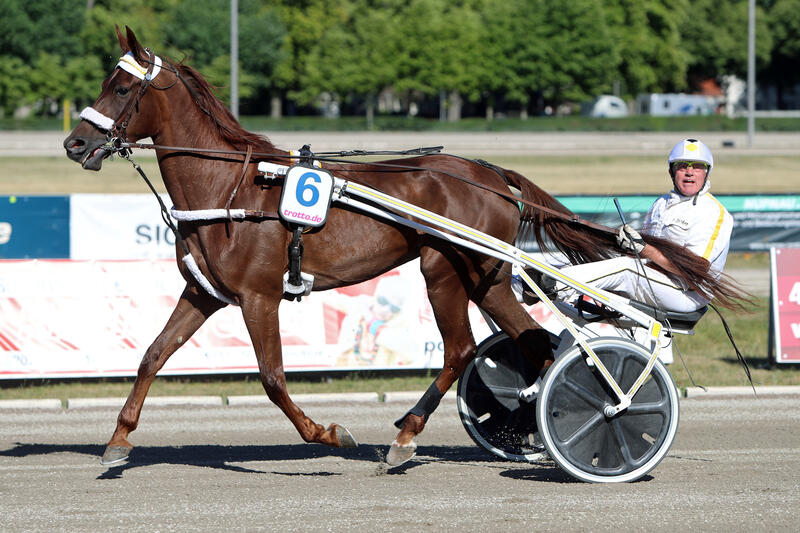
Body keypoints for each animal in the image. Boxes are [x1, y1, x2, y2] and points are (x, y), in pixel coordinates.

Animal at [65, 28, 728, 466]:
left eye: (120, 88)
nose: (75, 144)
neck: (233, 188)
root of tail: (493, 176)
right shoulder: (204, 293)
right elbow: (152, 355)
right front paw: (119, 439)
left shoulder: (259, 296)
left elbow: (274, 378)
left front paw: (330, 434)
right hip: (487, 276)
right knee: (534, 342)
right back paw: (532, 434)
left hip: (445, 271)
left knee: (462, 350)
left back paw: (412, 437)